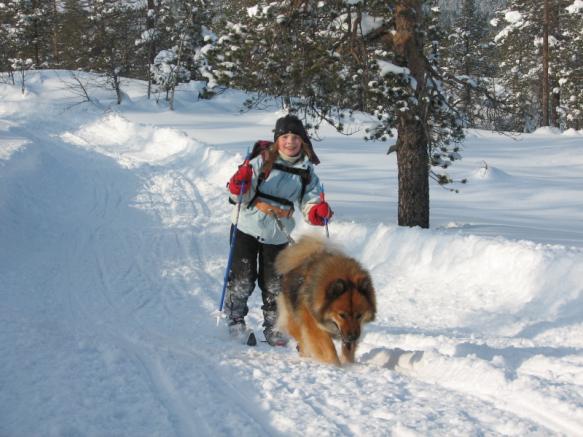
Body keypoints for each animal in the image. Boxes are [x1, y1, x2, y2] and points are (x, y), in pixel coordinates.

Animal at [274, 235, 376, 364]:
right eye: (342, 315)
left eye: (359, 315)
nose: (353, 337)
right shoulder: (314, 326)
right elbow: (328, 348)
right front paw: (335, 364)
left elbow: (347, 350)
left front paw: (348, 364)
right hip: (295, 320)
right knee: (302, 341)